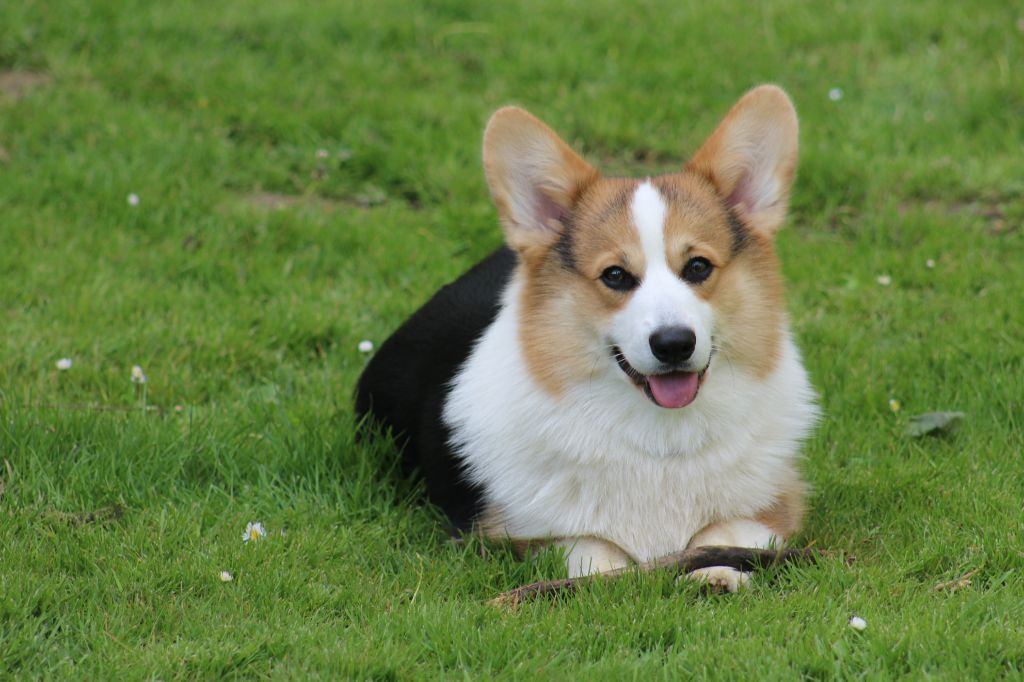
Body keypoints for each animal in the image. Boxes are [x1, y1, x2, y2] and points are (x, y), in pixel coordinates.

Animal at [356, 85, 818, 591]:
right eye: (615, 275)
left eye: (698, 266)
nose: (674, 344)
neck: (659, 440)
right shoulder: (519, 534)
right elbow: (593, 552)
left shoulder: (776, 506)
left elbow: (727, 531)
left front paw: (715, 570)